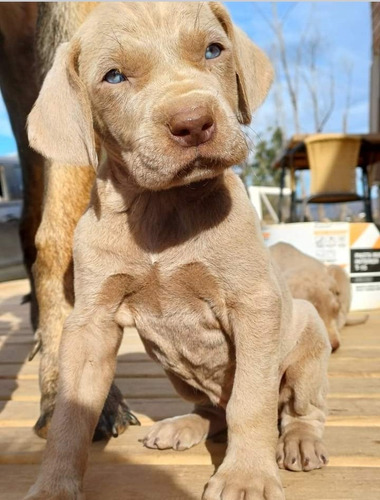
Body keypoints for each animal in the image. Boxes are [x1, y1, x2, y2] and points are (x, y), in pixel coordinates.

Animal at [25, 3, 332, 500]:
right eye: (113, 77)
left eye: (213, 50)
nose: (193, 122)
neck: (161, 208)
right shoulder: (90, 323)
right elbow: (71, 416)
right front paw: (54, 485)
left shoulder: (254, 305)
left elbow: (251, 401)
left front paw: (246, 475)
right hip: (173, 368)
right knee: (215, 409)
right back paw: (184, 425)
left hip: (308, 336)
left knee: (296, 408)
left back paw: (300, 441)